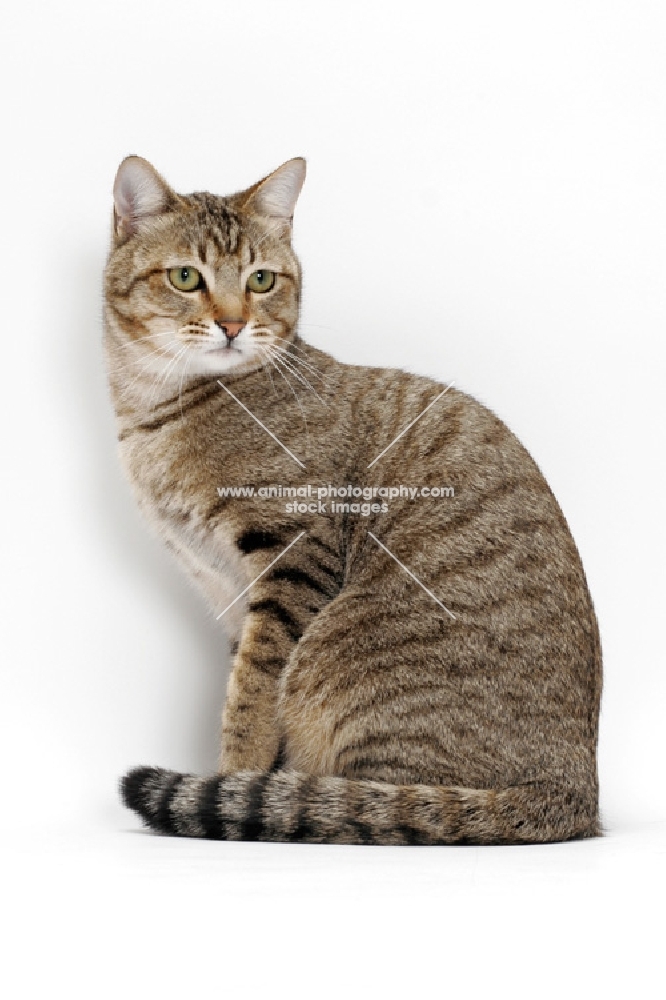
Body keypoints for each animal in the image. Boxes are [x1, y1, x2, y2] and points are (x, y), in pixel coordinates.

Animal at [104, 156, 600, 844]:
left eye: (261, 280)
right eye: (185, 277)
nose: (232, 324)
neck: (159, 410)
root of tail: (577, 787)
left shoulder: (292, 553)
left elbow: (252, 692)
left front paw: (234, 777)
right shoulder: (226, 585)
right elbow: (241, 677)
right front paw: (244, 784)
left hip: (343, 659)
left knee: (383, 803)